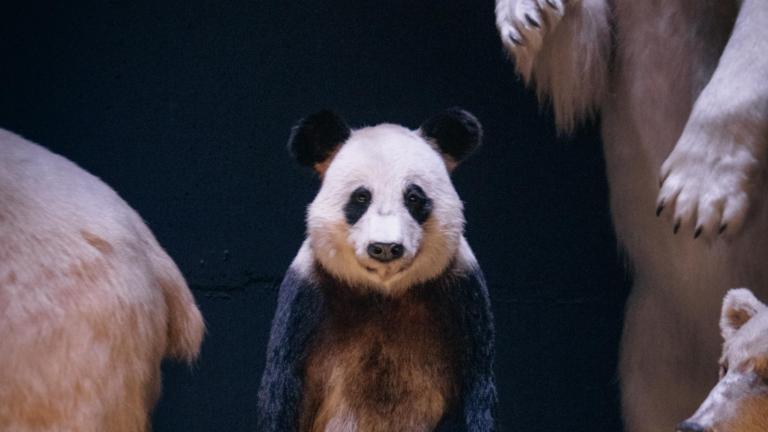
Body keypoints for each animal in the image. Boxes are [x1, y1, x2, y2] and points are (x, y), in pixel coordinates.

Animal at [258, 108, 497, 432]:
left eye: (413, 198)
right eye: (361, 198)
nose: (385, 247)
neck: (384, 293)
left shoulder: (460, 296)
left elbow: (475, 393)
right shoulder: (308, 296)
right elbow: (284, 391)